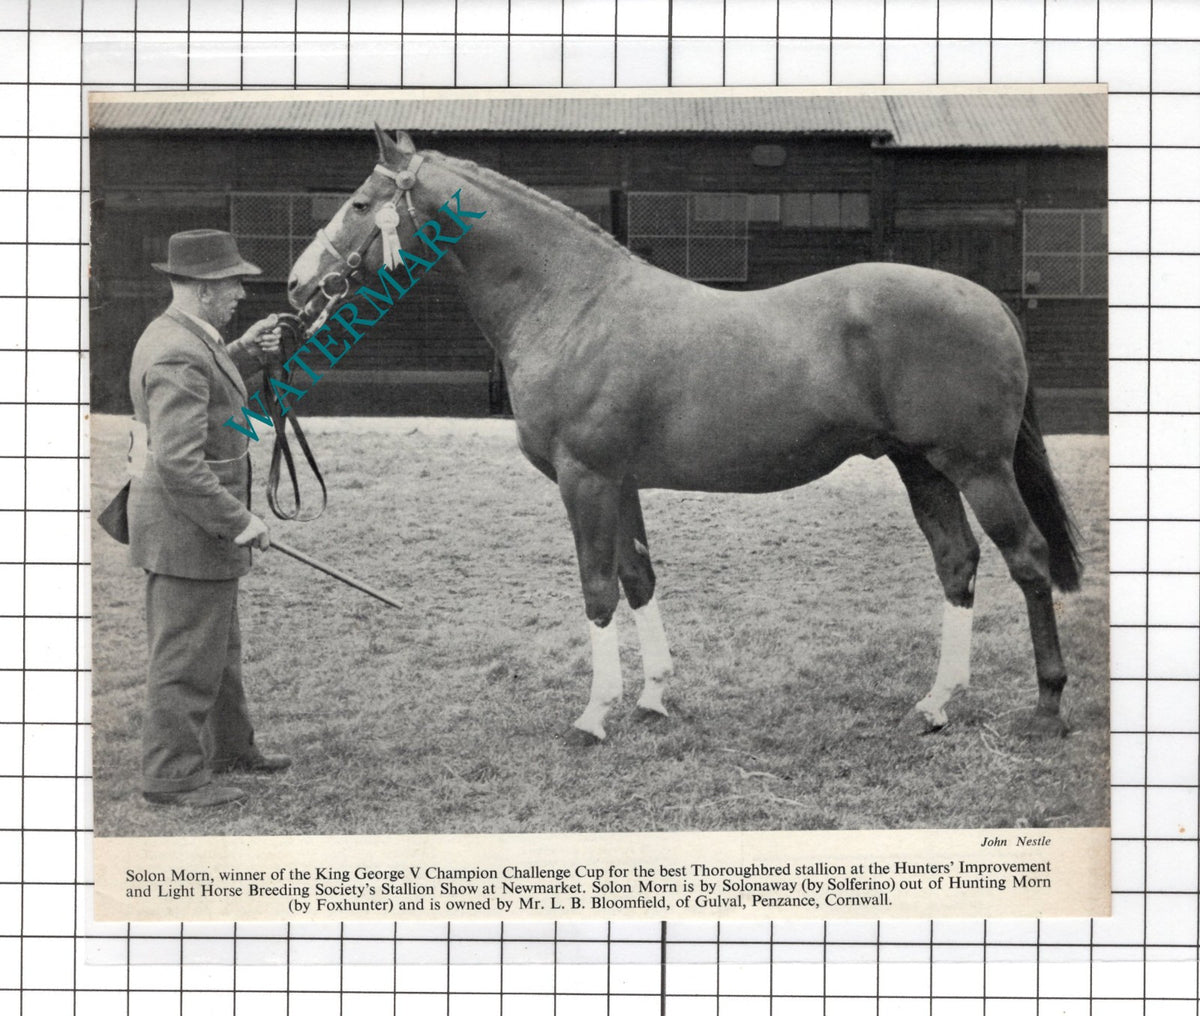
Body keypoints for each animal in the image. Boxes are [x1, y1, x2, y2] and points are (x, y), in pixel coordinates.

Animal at [286, 126, 1082, 742]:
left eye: (359, 204)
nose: (297, 284)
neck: (571, 305)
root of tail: (988, 302)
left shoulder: (585, 478)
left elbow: (597, 588)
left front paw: (594, 716)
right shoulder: (620, 481)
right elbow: (638, 577)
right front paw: (652, 697)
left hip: (977, 466)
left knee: (1028, 559)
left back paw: (1047, 706)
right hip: (921, 466)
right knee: (957, 562)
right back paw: (935, 706)